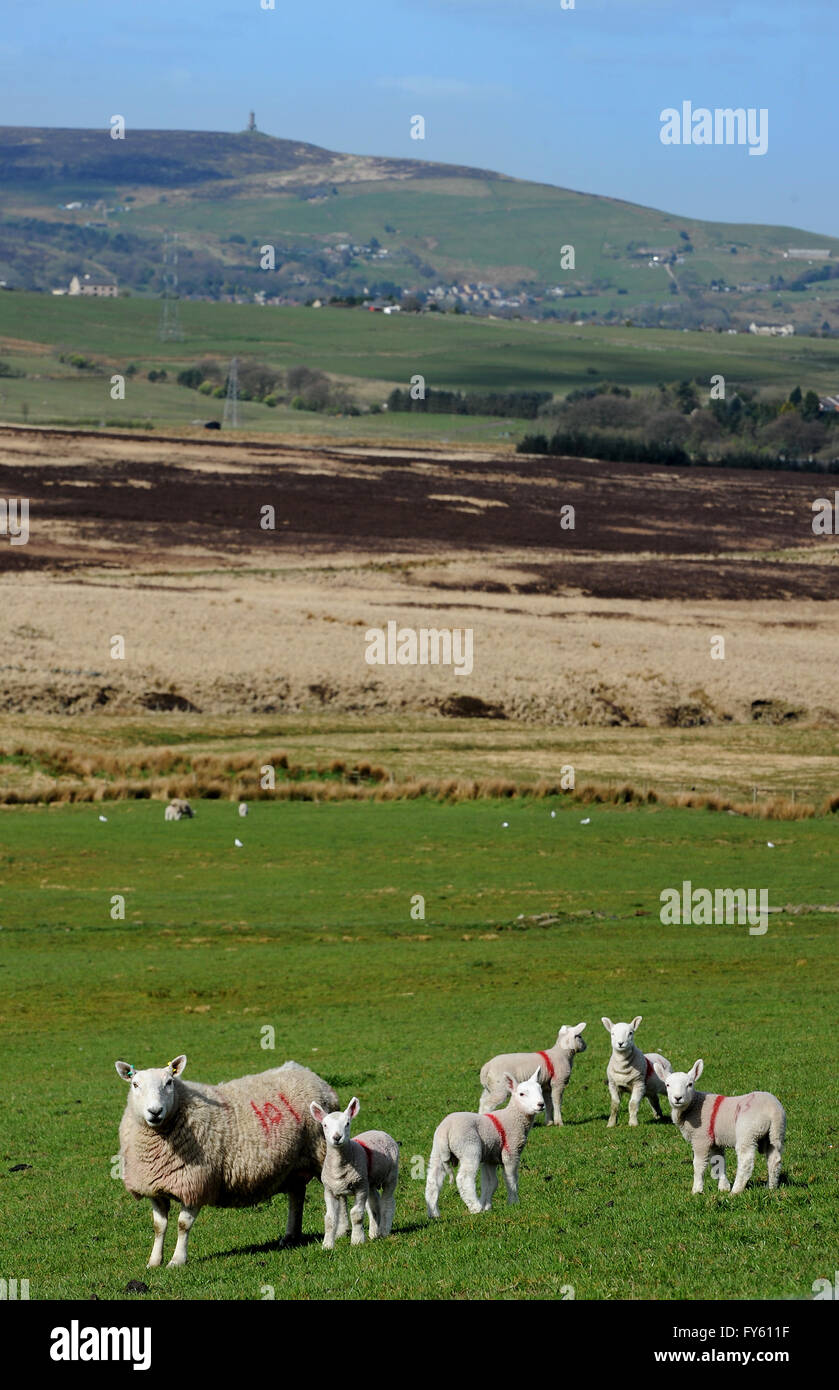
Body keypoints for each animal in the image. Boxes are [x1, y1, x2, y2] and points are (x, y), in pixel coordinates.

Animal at [113, 1050, 337, 1273]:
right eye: (135, 1084)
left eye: (169, 1082)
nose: (155, 1111)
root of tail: (308, 1073)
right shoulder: (154, 1187)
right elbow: (159, 1227)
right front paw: (153, 1261)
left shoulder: (197, 1184)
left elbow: (183, 1225)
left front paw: (177, 1260)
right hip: (296, 1166)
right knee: (296, 1196)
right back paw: (291, 1236)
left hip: (323, 1154)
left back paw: (339, 1234)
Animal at [309, 1095, 402, 1251]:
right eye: (325, 1125)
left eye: (347, 1123)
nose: (337, 1137)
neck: (340, 1167)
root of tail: (380, 1131)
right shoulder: (330, 1190)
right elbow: (329, 1219)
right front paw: (327, 1245)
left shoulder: (360, 1187)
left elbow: (356, 1214)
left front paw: (357, 1240)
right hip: (370, 1181)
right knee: (374, 1204)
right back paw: (374, 1233)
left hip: (391, 1175)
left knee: (388, 1201)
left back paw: (384, 1231)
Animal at [425, 1061, 544, 1217]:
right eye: (522, 1094)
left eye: (541, 1090)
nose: (541, 1104)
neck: (513, 1117)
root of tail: (446, 1129)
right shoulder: (511, 1151)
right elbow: (511, 1178)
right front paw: (513, 1202)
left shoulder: (490, 1158)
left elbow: (490, 1183)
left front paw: (487, 1205)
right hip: (469, 1148)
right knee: (464, 1179)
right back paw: (475, 1208)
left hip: (437, 1151)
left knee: (433, 1181)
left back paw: (434, 1214)